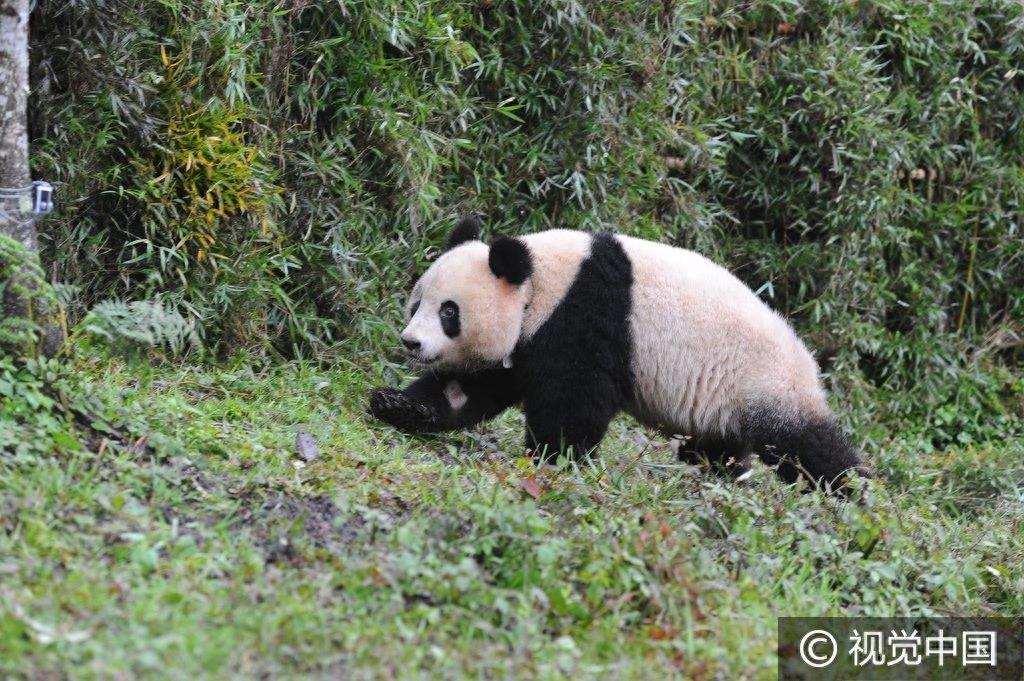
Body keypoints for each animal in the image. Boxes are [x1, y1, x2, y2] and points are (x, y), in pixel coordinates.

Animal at [368, 218, 864, 489]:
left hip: (765, 381)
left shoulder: (585, 315)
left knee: (803, 445)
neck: (540, 282)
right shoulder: (526, 341)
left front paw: (552, 456)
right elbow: (469, 389)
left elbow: (574, 399)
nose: (411, 342)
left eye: (449, 312)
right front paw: (395, 404)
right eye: (417, 303)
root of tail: (808, 361)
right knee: (719, 446)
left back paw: (848, 493)